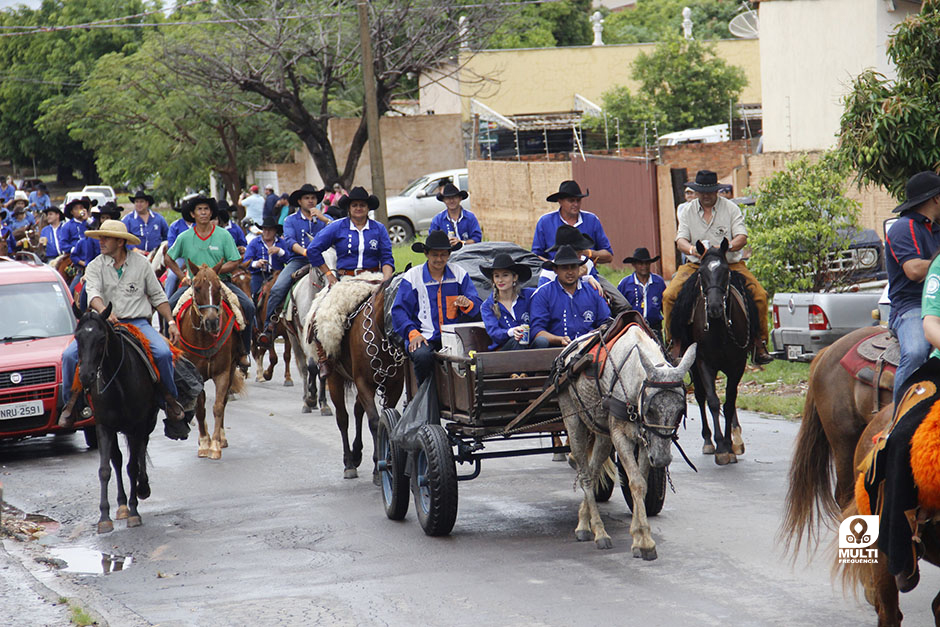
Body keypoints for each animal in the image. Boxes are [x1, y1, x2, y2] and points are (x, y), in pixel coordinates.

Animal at [173, 262, 244, 462]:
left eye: (218, 288)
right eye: (197, 288)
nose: (212, 321)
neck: (204, 338)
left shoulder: (223, 372)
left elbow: (218, 406)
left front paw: (216, 444)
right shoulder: (195, 376)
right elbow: (200, 408)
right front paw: (205, 443)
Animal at [560, 326, 696, 560]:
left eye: (680, 411)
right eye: (650, 410)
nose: (662, 459)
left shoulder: (645, 440)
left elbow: (640, 483)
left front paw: (640, 538)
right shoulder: (620, 435)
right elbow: (636, 482)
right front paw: (645, 541)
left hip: (602, 434)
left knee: (593, 472)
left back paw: (585, 522)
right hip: (574, 420)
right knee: (585, 475)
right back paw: (598, 531)